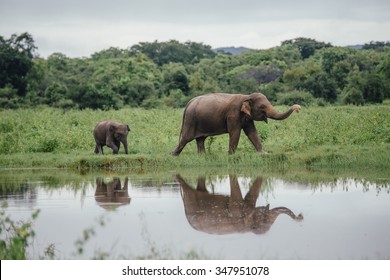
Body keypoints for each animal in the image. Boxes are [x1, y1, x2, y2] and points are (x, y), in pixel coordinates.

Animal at [171, 93, 302, 155]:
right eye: (262, 107)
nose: (298, 108)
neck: (247, 96)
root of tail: (189, 102)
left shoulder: (247, 118)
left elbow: (252, 132)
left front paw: (264, 153)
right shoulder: (233, 114)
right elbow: (235, 132)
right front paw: (231, 155)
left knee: (200, 139)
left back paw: (203, 156)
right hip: (190, 120)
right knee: (185, 139)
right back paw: (173, 155)